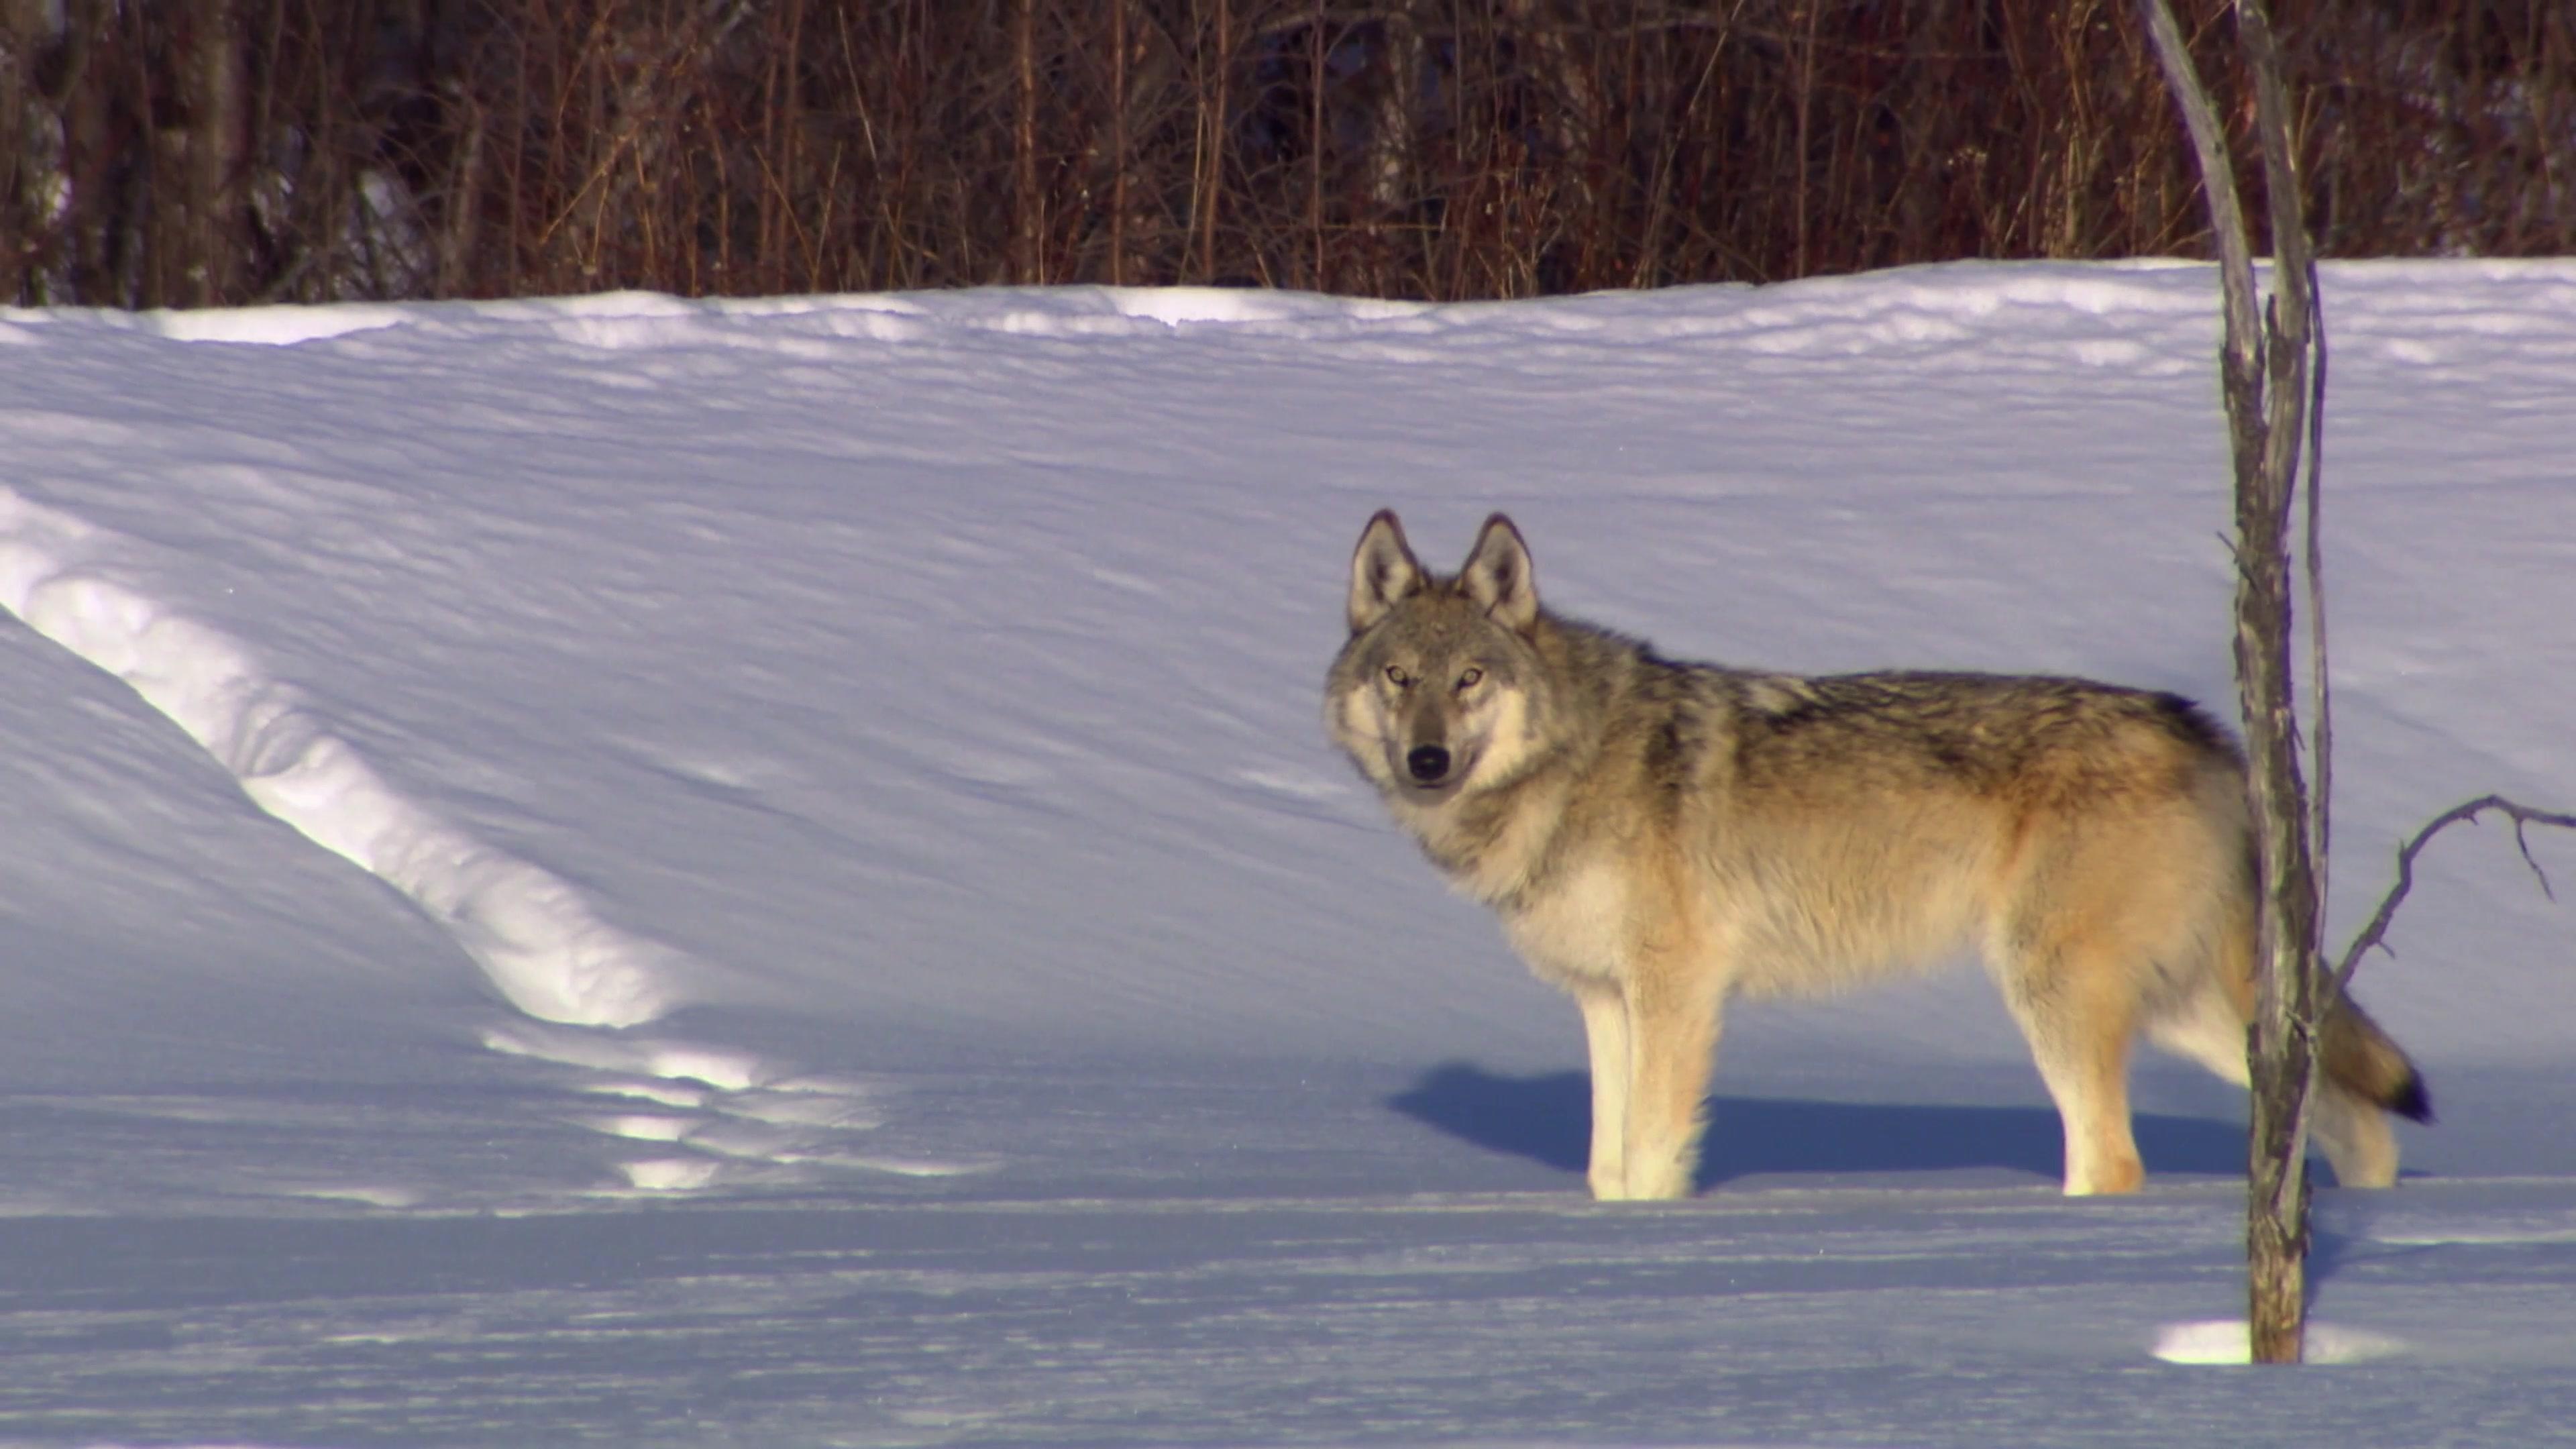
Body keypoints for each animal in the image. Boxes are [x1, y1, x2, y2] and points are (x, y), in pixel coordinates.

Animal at [1329, 510, 2431, 1196]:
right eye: (1397, 677)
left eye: (1470, 678)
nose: (1427, 760)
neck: (1573, 761)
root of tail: (2201, 729)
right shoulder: (1605, 998)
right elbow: (1607, 1166)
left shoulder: (1676, 991)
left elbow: (1648, 1159)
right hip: (2188, 1010)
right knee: (2347, 1120)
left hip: (2056, 992)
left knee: (2114, 1160)